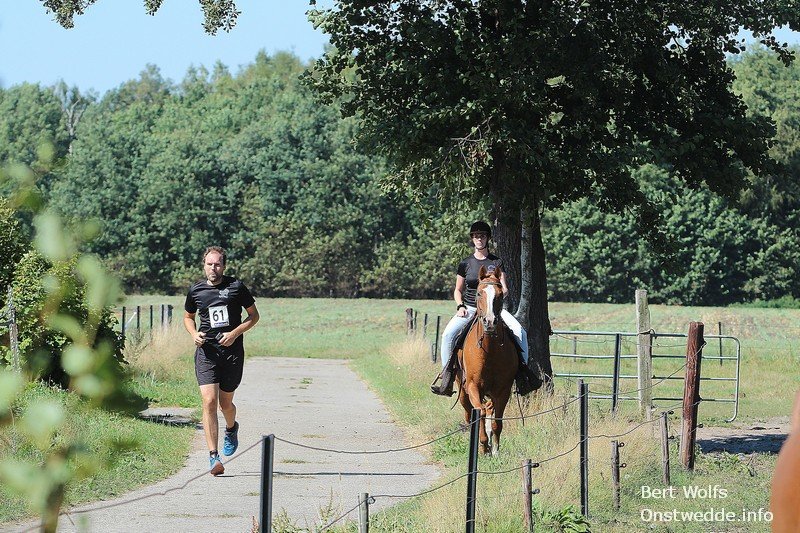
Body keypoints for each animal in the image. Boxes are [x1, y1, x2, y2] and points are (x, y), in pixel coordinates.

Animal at [456, 265, 518, 456]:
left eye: (500, 294)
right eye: (478, 293)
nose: (490, 322)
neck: (490, 351)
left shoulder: (503, 390)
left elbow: (497, 420)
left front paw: (495, 450)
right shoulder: (473, 387)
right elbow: (480, 413)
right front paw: (483, 446)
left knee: (489, 408)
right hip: (463, 392)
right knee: (470, 413)